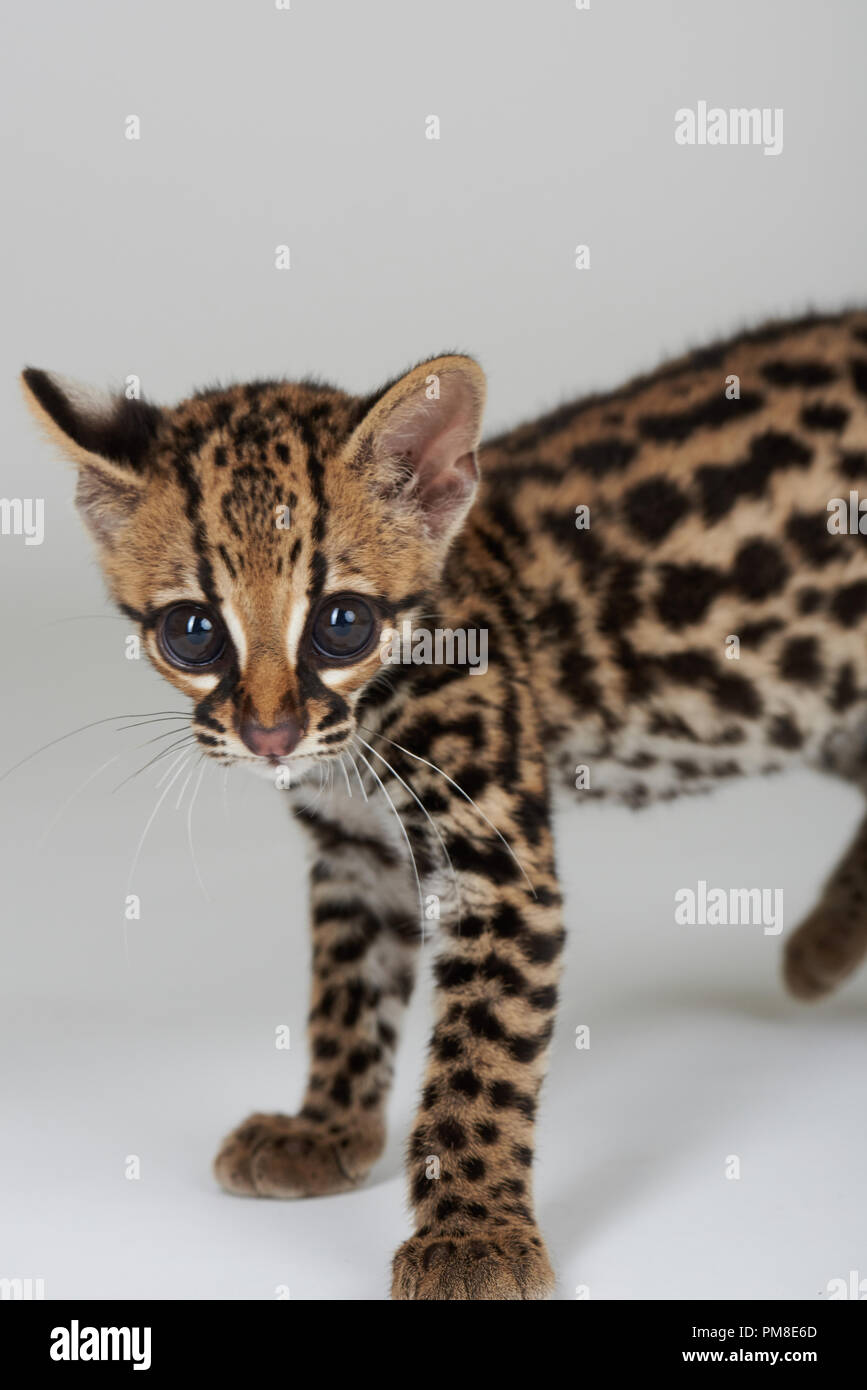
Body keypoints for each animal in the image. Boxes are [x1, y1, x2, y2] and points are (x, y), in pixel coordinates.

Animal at [20, 309, 867, 1295]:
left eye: (341, 622)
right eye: (192, 632)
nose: (269, 734)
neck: (361, 734)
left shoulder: (495, 866)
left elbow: (480, 1059)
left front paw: (471, 1237)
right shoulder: (355, 854)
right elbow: (345, 993)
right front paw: (328, 1126)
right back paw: (824, 946)